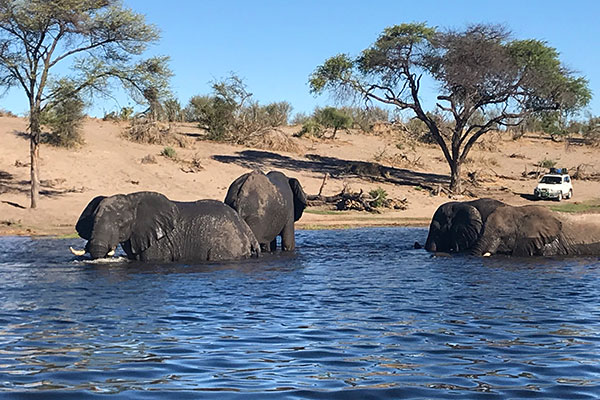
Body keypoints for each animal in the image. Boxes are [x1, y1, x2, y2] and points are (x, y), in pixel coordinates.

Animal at [70, 191, 260, 262]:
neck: (132, 200)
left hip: (229, 245)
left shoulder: (158, 243)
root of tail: (248, 231)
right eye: (93, 221)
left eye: (121, 224)